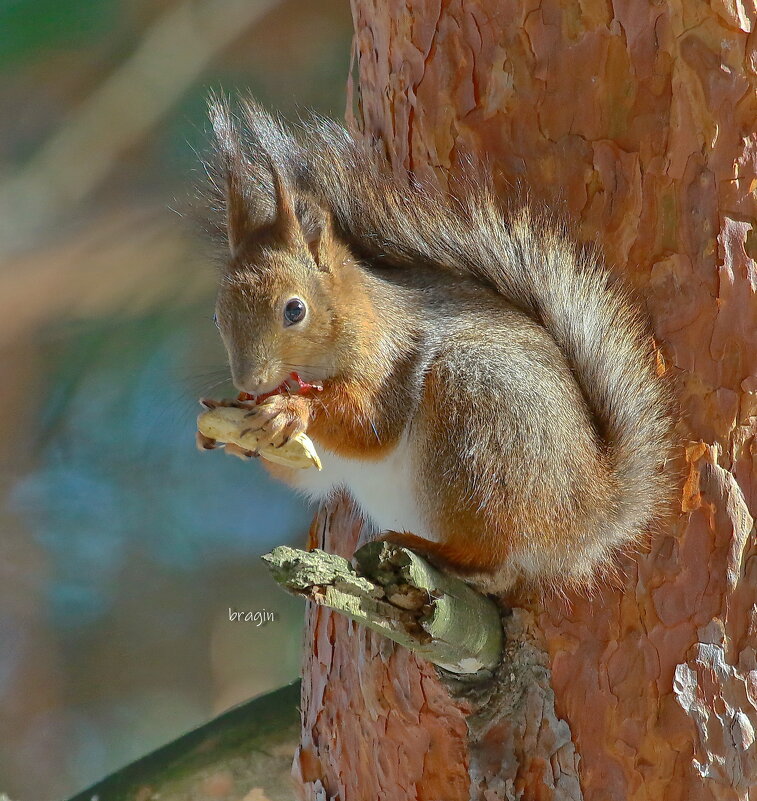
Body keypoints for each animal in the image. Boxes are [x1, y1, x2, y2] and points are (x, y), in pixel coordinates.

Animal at [201, 95, 672, 592]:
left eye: (295, 310)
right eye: (217, 315)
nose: (250, 382)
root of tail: (587, 515)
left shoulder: (391, 357)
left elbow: (370, 424)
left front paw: (293, 409)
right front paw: (224, 427)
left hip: (478, 427)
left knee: (491, 560)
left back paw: (430, 547)